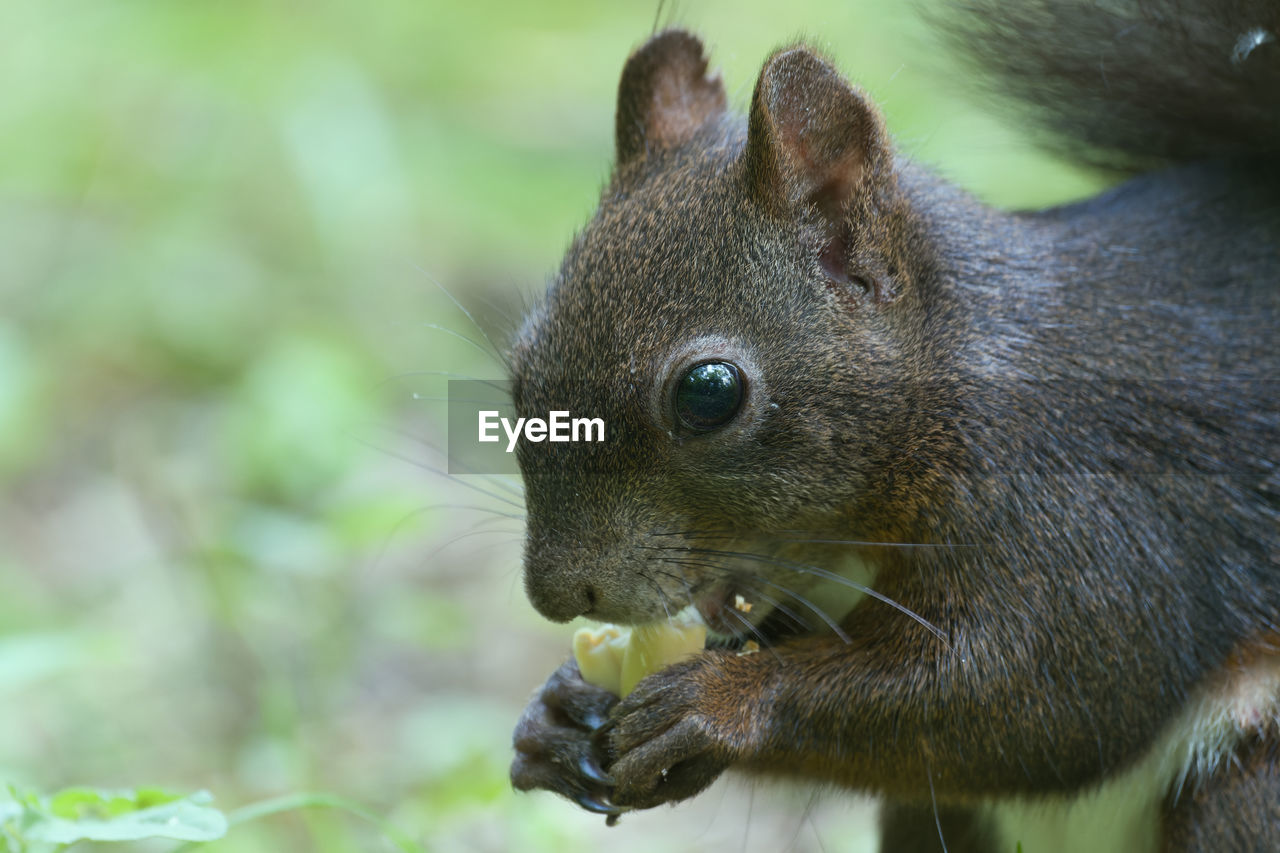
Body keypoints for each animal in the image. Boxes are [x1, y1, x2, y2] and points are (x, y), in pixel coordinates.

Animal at [504, 0, 1274, 845]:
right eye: (519, 369)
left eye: (708, 393)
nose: (559, 594)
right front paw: (559, 711)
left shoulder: (1086, 516)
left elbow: (1040, 695)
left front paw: (721, 701)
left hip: (1247, 783)